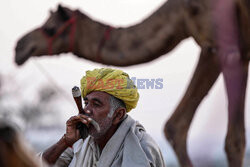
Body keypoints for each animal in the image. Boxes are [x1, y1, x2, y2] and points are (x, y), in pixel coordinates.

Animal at [15, 0, 250, 166]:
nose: (19, 47)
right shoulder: (237, 51)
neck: (179, 12)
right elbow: (180, 126)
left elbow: (230, 139)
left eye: (50, 28)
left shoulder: (220, 46)